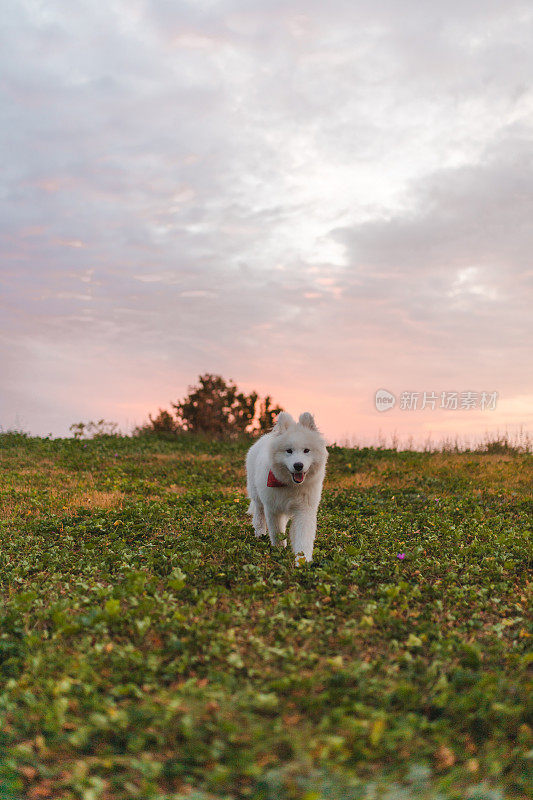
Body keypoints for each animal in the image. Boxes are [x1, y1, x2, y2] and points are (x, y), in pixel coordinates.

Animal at [246, 412, 328, 564]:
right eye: (289, 451)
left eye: (306, 450)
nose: (298, 465)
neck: (291, 485)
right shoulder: (272, 508)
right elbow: (276, 532)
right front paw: (279, 551)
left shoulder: (304, 510)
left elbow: (303, 537)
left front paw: (302, 561)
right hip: (257, 495)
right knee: (259, 515)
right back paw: (260, 534)